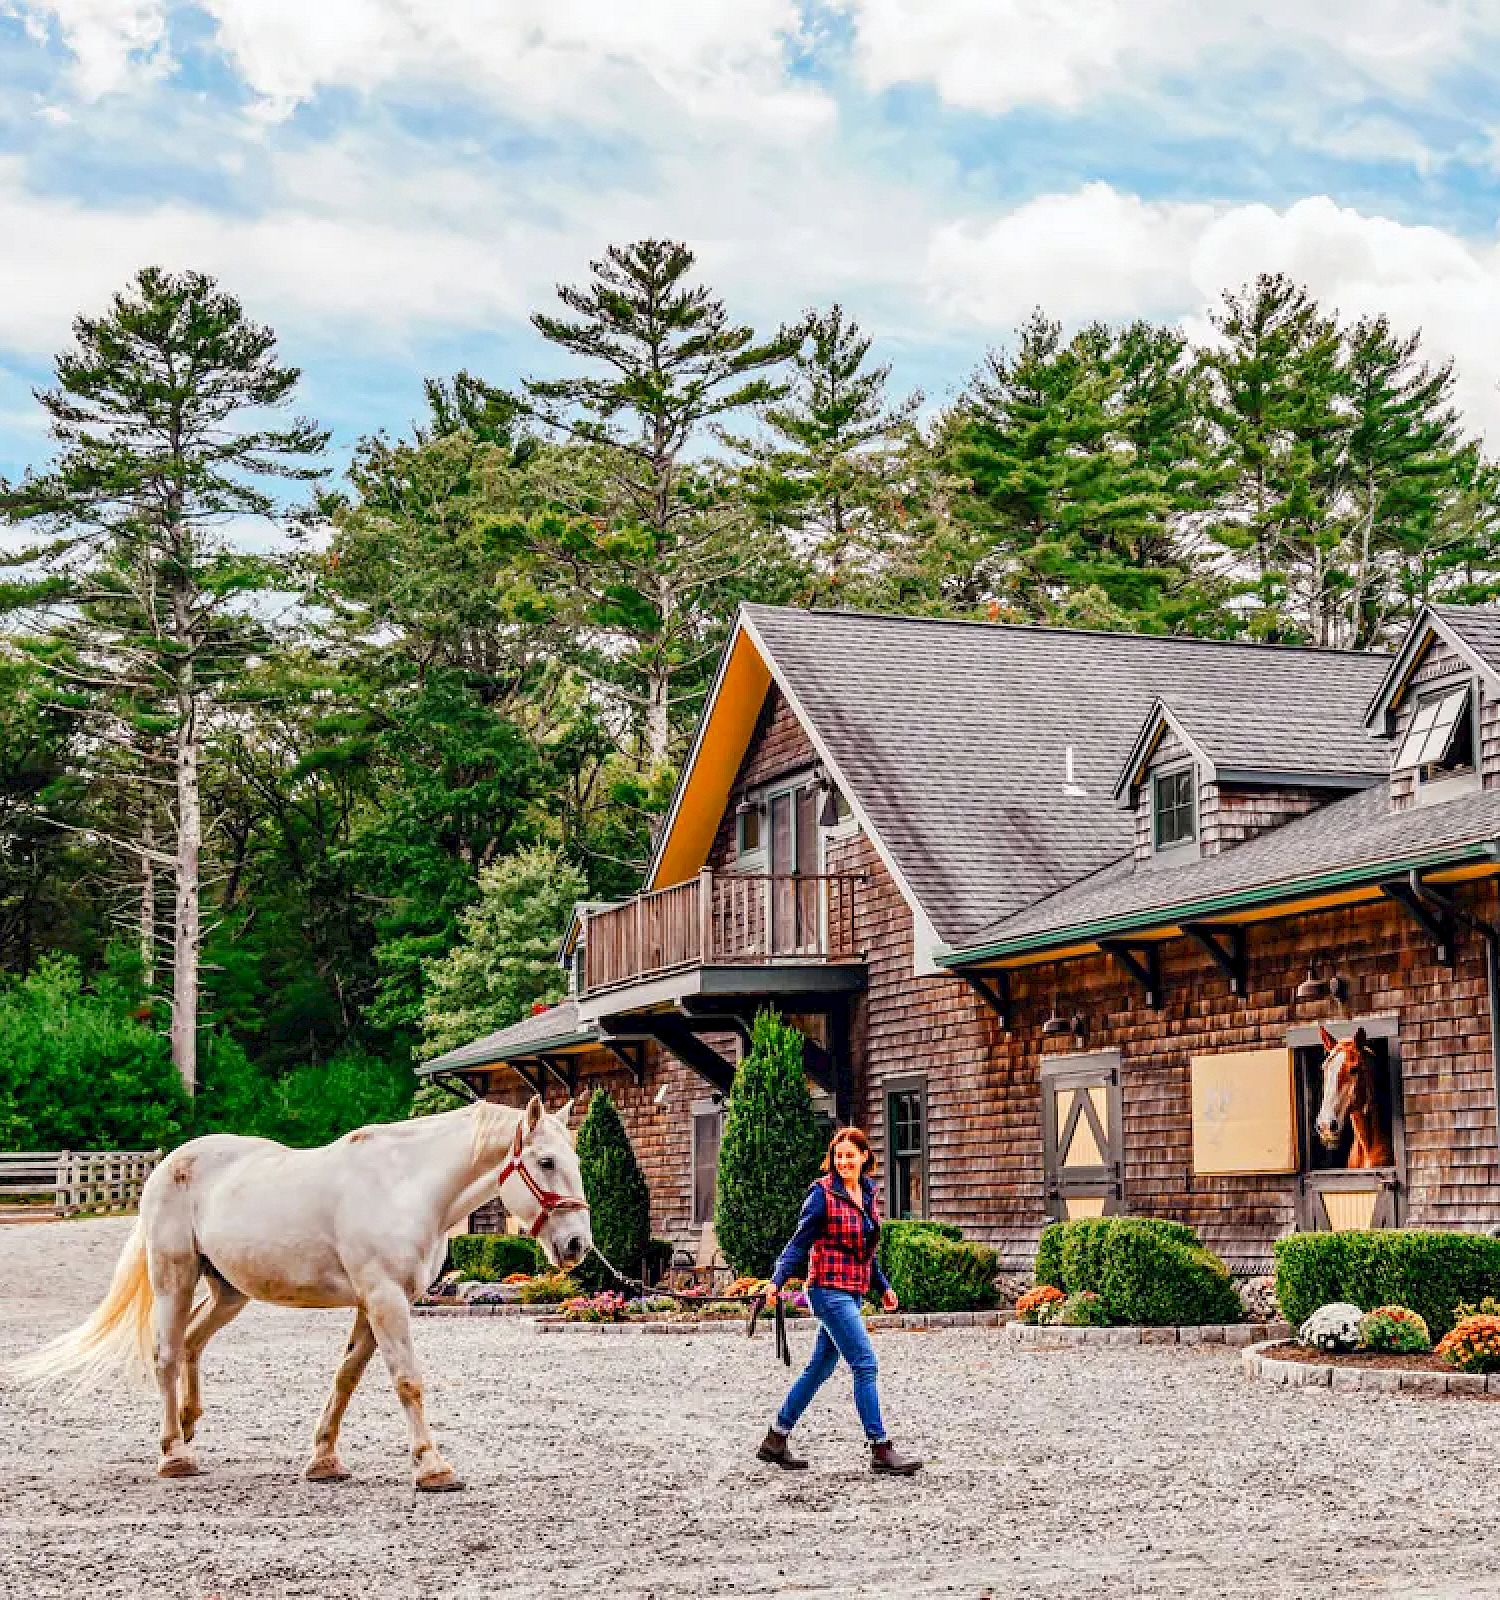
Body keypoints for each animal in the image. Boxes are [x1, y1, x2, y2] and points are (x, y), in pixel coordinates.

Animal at [7, 1100, 591, 1484]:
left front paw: (324, 1461)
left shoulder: (375, 1303)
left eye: (576, 1161)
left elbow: (346, 1378)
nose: (576, 1244)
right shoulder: (385, 1300)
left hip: (229, 1293)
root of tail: (169, 1164)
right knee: (167, 1354)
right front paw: (432, 1466)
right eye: (546, 1162)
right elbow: (407, 1381)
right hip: (175, 1276)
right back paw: (175, 1455)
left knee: (193, 1343)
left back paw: (190, 1427)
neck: (405, 1187)